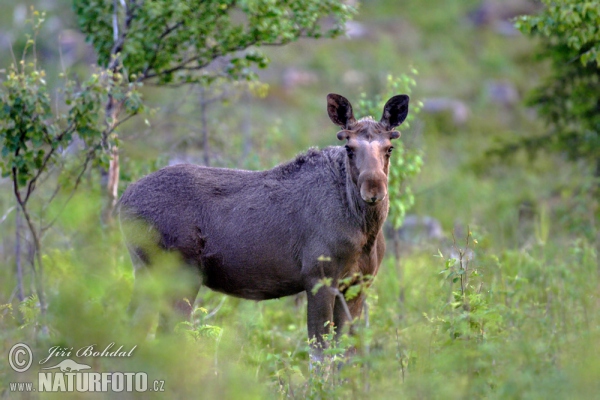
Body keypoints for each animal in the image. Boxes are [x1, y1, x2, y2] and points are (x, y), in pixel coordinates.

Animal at [118, 94, 408, 360]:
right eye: (349, 148)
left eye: (389, 148)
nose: (374, 190)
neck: (365, 231)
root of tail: (122, 202)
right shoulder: (318, 277)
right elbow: (320, 352)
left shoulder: (359, 284)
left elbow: (345, 353)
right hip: (178, 273)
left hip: (146, 271)